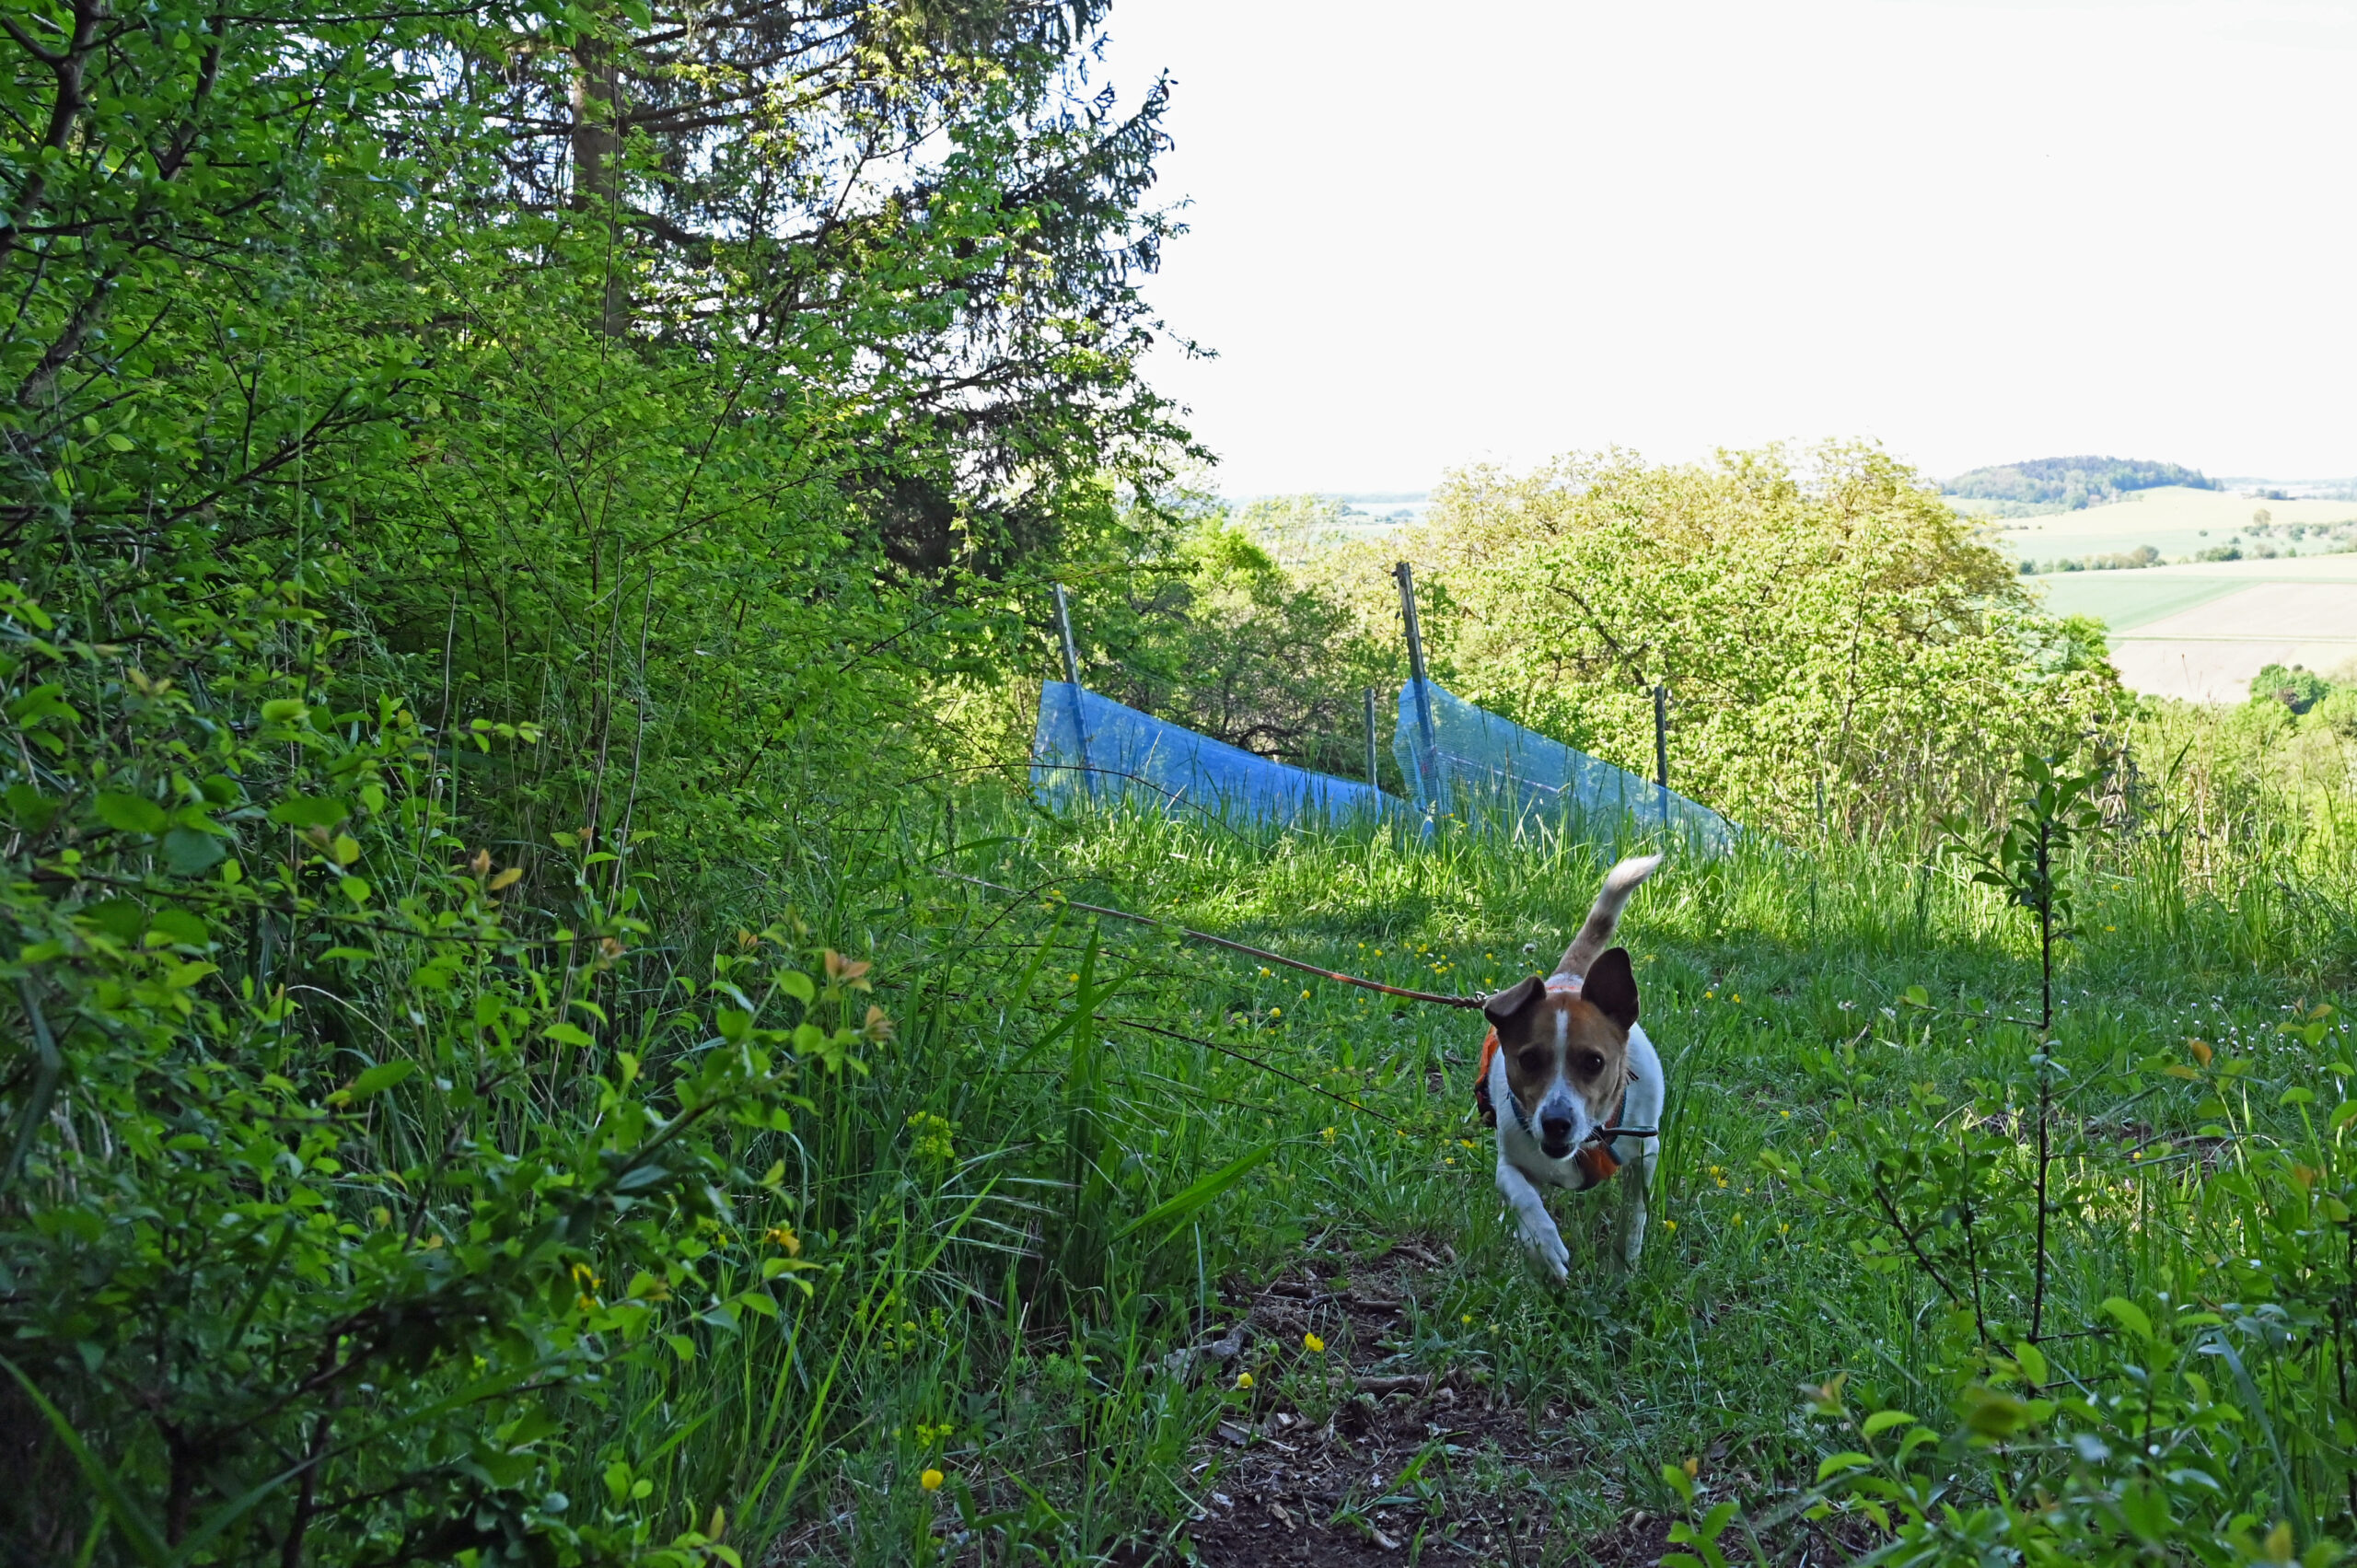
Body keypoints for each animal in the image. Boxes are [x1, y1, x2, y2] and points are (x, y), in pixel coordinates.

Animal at [1473, 855, 1664, 1279]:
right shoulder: (1510, 1163)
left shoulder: (1645, 1154)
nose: (1555, 1123)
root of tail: (1569, 978)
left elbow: (1634, 1218)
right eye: (1528, 1059)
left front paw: (1623, 1270)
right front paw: (1543, 1248)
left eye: (1594, 1062)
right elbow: (1524, 1197)